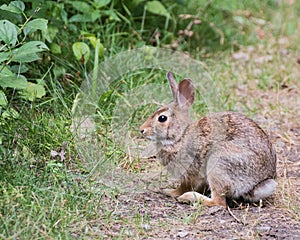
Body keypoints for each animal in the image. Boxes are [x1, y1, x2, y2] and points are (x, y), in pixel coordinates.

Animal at [140, 72, 276, 207]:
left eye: (162, 118)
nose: (142, 129)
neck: (180, 136)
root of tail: (257, 184)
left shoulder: (189, 171)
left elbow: (183, 187)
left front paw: (169, 191)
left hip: (218, 165)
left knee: (219, 202)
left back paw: (189, 197)